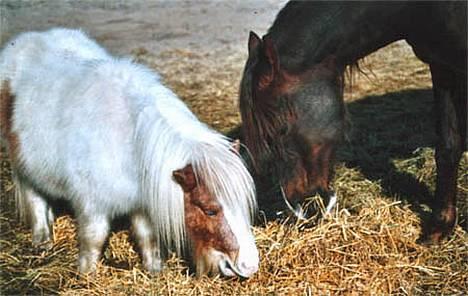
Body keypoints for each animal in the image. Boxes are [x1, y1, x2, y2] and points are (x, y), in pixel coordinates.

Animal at [0, 28, 258, 278]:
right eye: (210, 210)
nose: (249, 266)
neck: (131, 142)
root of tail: (30, 38)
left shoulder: (142, 205)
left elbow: (148, 238)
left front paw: (155, 272)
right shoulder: (92, 205)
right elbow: (93, 239)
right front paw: (87, 274)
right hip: (23, 166)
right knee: (35, 197)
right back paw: (42, 239)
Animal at [239, 1, 466, 243]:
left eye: (281, 129)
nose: (302, 209)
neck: (421, 9)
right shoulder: (442, 67)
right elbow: (448, 146)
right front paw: (440, 226)